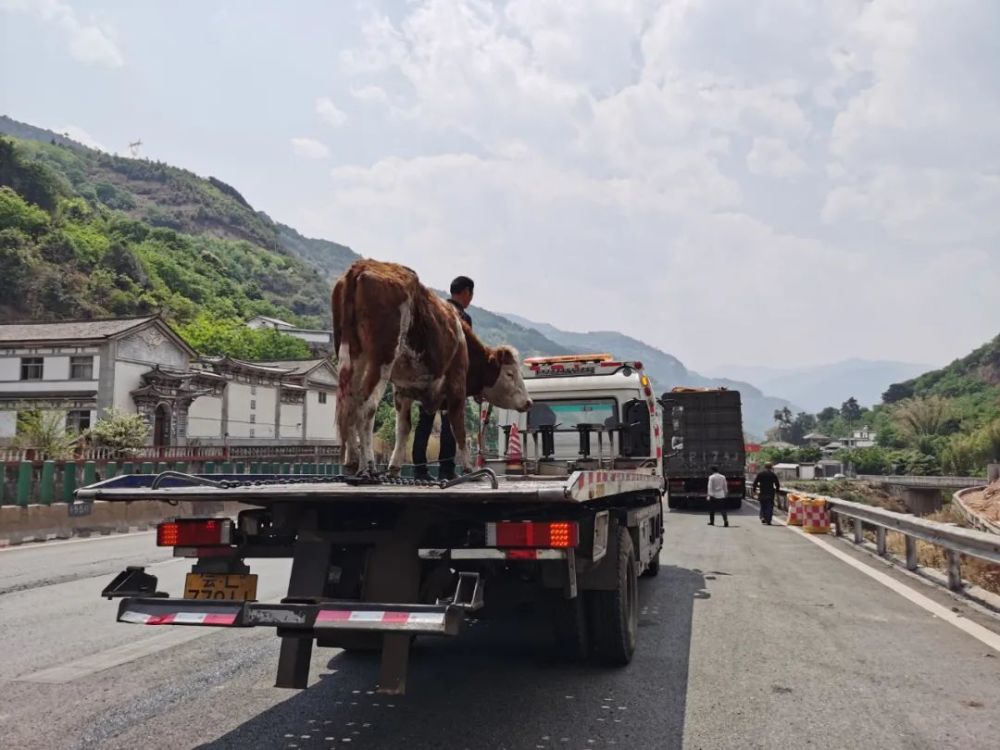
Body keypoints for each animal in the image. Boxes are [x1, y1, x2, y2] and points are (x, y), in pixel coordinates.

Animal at [332, 262, 532, 476]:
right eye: (510, 374)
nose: (529, 402)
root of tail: (362, 266)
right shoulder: (457, 384)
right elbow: (458, 427)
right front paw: (468, 467)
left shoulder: (403, 389)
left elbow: (404, 428)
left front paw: (394, 467)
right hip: (381, 362)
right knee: (366, 409)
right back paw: (367, 465)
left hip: (351, 359)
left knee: (351, 405)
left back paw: (352, 461)